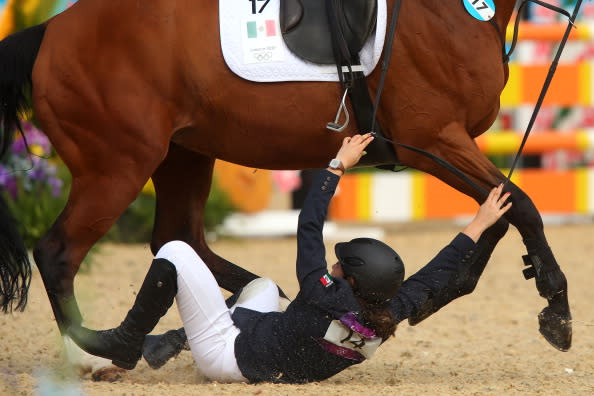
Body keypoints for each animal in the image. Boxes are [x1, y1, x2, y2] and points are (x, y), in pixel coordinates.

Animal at [0, 0, 572, 370]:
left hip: (183, 154)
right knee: (59, 252)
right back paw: (90, 353)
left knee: (178, 237)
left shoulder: (447, 145)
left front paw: (448, 291)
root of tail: (51, 30)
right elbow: (522, 205)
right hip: (117, 166)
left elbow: (500, 211)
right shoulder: (432, 140)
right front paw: (557, 310)